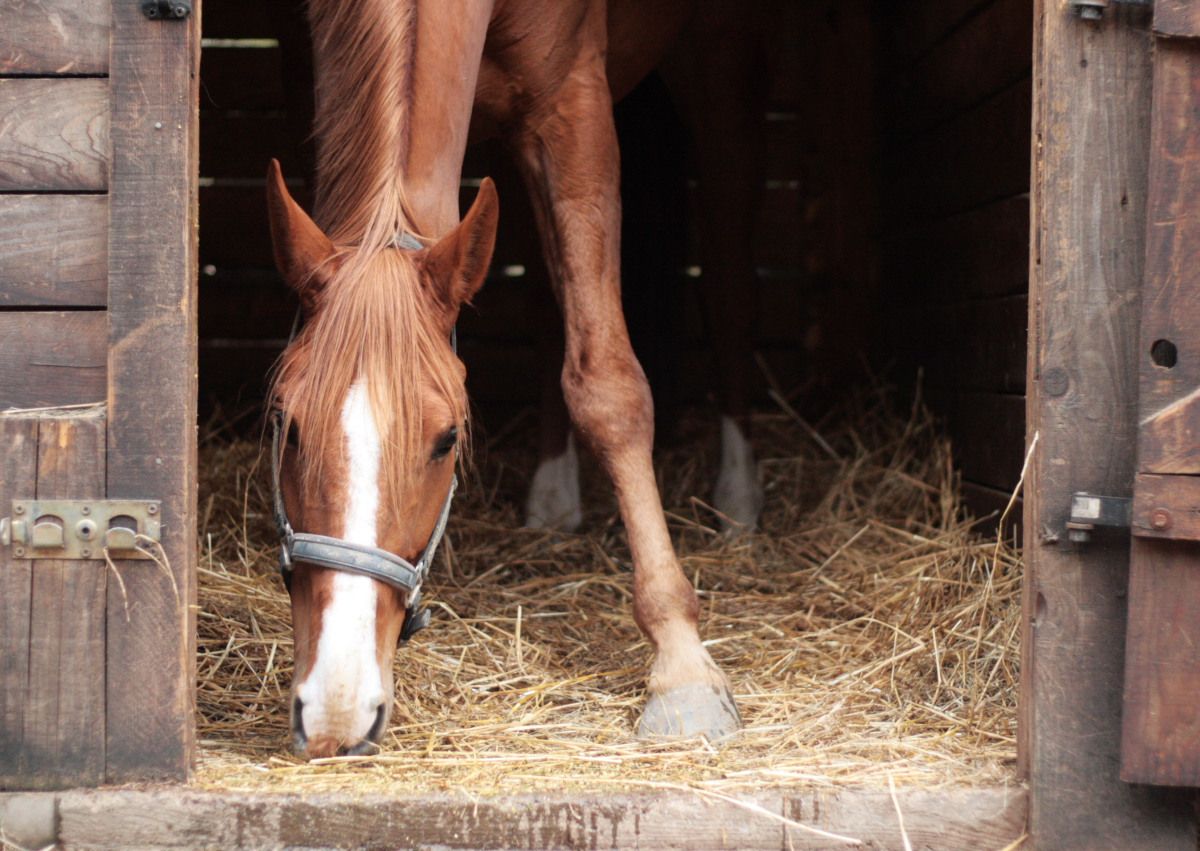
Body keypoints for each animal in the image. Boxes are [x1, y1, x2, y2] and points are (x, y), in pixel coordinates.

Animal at [267, 0, 755, 758]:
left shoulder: (570, 102)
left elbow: (609, 385)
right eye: (285, 424)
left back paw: (737, 496)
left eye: (447, 439)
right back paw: (552, 497)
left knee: (729, 265)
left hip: (713, 58)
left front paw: (682, 669)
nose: (334, 710)